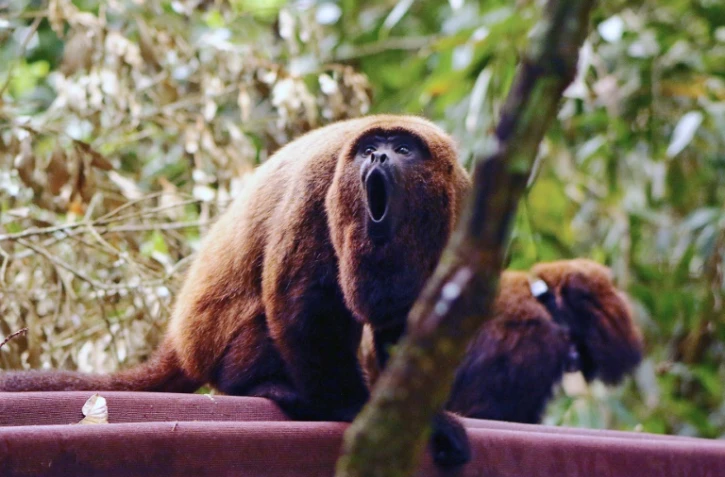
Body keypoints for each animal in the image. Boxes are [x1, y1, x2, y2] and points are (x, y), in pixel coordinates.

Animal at [0, 115, 472, 466]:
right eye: (371, 147)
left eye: (403, 149)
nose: (377, 154)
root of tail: (182, 343)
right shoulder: (320, 182)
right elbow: (302, 302)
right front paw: (352, 407)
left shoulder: (464, 204)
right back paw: (265, 386)